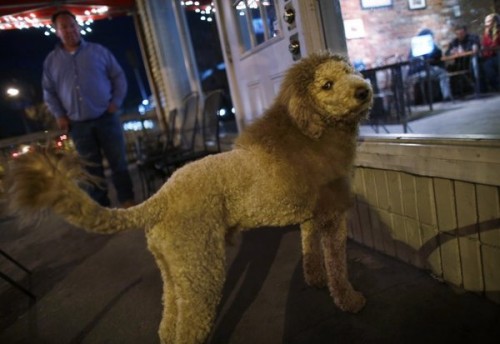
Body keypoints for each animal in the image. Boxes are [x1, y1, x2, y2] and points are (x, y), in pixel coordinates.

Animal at [7, 51, 374, 344]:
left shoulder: (313, 216)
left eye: (349, 71)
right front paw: (351, 300)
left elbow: (311, 252)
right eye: (327, 85)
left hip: (175, 269)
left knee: (170, 321)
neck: (309, 130)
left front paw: (315, 279)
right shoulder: (333, 216)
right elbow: (338, 266)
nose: (364, 90)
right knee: (190, 329)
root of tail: (158, 200)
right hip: (202, 267)